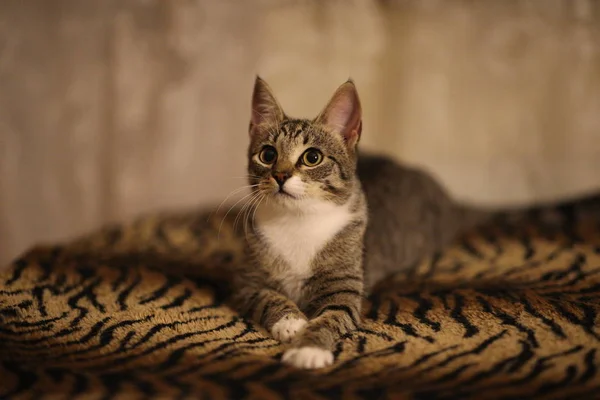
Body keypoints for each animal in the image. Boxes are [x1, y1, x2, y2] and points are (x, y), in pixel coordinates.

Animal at [226, 76, 488, 370]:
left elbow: (331, 318)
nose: (280, 175)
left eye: (312, 157)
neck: (297, 220)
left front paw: (308, 348)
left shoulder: (344, 287)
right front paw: (290, 321)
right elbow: (267, 297)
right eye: (268, 155)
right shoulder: (247, 281)